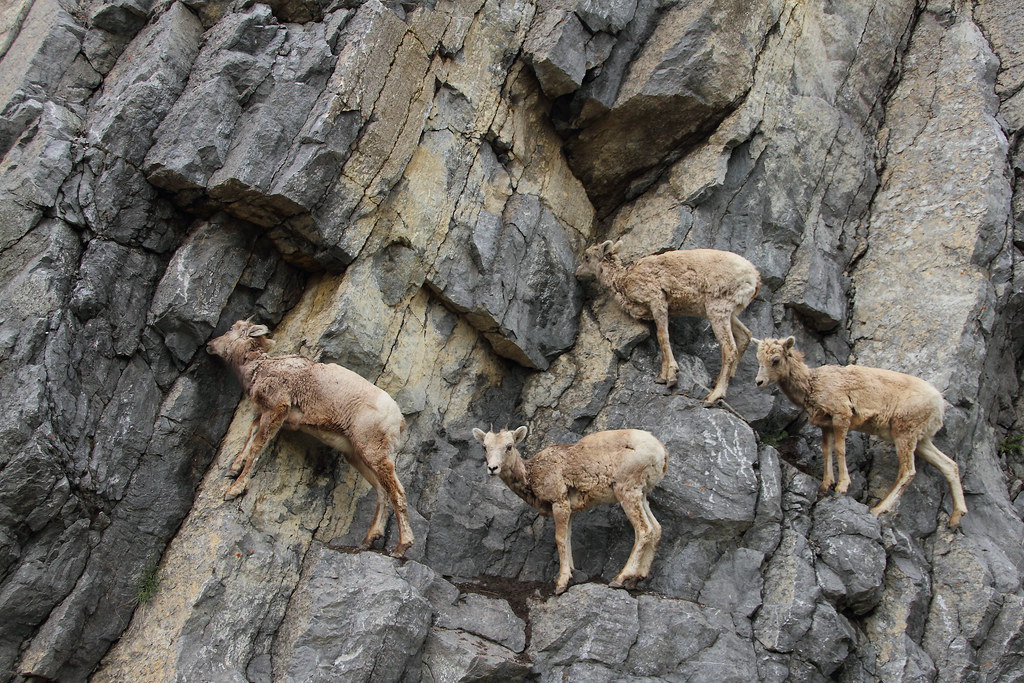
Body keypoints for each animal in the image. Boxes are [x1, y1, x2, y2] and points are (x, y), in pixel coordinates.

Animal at [207, 319, 415, 556]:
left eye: (231, 329)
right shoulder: (266, 413)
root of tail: (398, 420)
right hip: (357, 456)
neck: (263, 368)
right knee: (381, 491)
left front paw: (233, 490)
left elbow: (257, 448)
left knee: (397, 492)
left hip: (375, 454)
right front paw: (233, 469)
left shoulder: (277, 409)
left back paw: (400, 547)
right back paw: (367, 540)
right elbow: (251, 433)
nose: (210, 345)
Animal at [472, 426, 667, 594]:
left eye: (509, 446)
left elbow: (559, 539)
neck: (532, 475)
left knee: (644, 530)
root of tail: (661, 453)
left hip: (627, 491)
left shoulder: (559, 502)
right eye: (484, 446)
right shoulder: (571, 510)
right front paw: (572, 573)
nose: (492, 468)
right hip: (642, 495)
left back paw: (620, 579)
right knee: (657, 528)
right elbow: (567, 538)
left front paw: (561, 583)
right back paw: (636, 580)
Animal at [576, 240, 760, 404]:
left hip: (718, 308)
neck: (623, 280)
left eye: (586, 256)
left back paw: (713, 396)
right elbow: (661, 338)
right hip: (728, 312)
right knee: (745, 335)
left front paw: (671, 377)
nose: (577, 274)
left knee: (729, 348)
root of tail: (754, 278)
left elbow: (662, 336)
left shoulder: (657, 300)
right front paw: (661, 377)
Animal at [754, 336, 967, 527]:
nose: (759, 382)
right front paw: (826, 485)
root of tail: (939, 403)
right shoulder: (826, 425)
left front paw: (841, 487)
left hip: (904, 433)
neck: (812, 384)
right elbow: (826, 451)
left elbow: (840, 449)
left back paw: (878, 509)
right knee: (949, 465)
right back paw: (956, 518)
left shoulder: (842, 416)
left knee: (908, 471)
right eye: (758, 359)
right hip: (921, 440)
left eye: (775, 359)